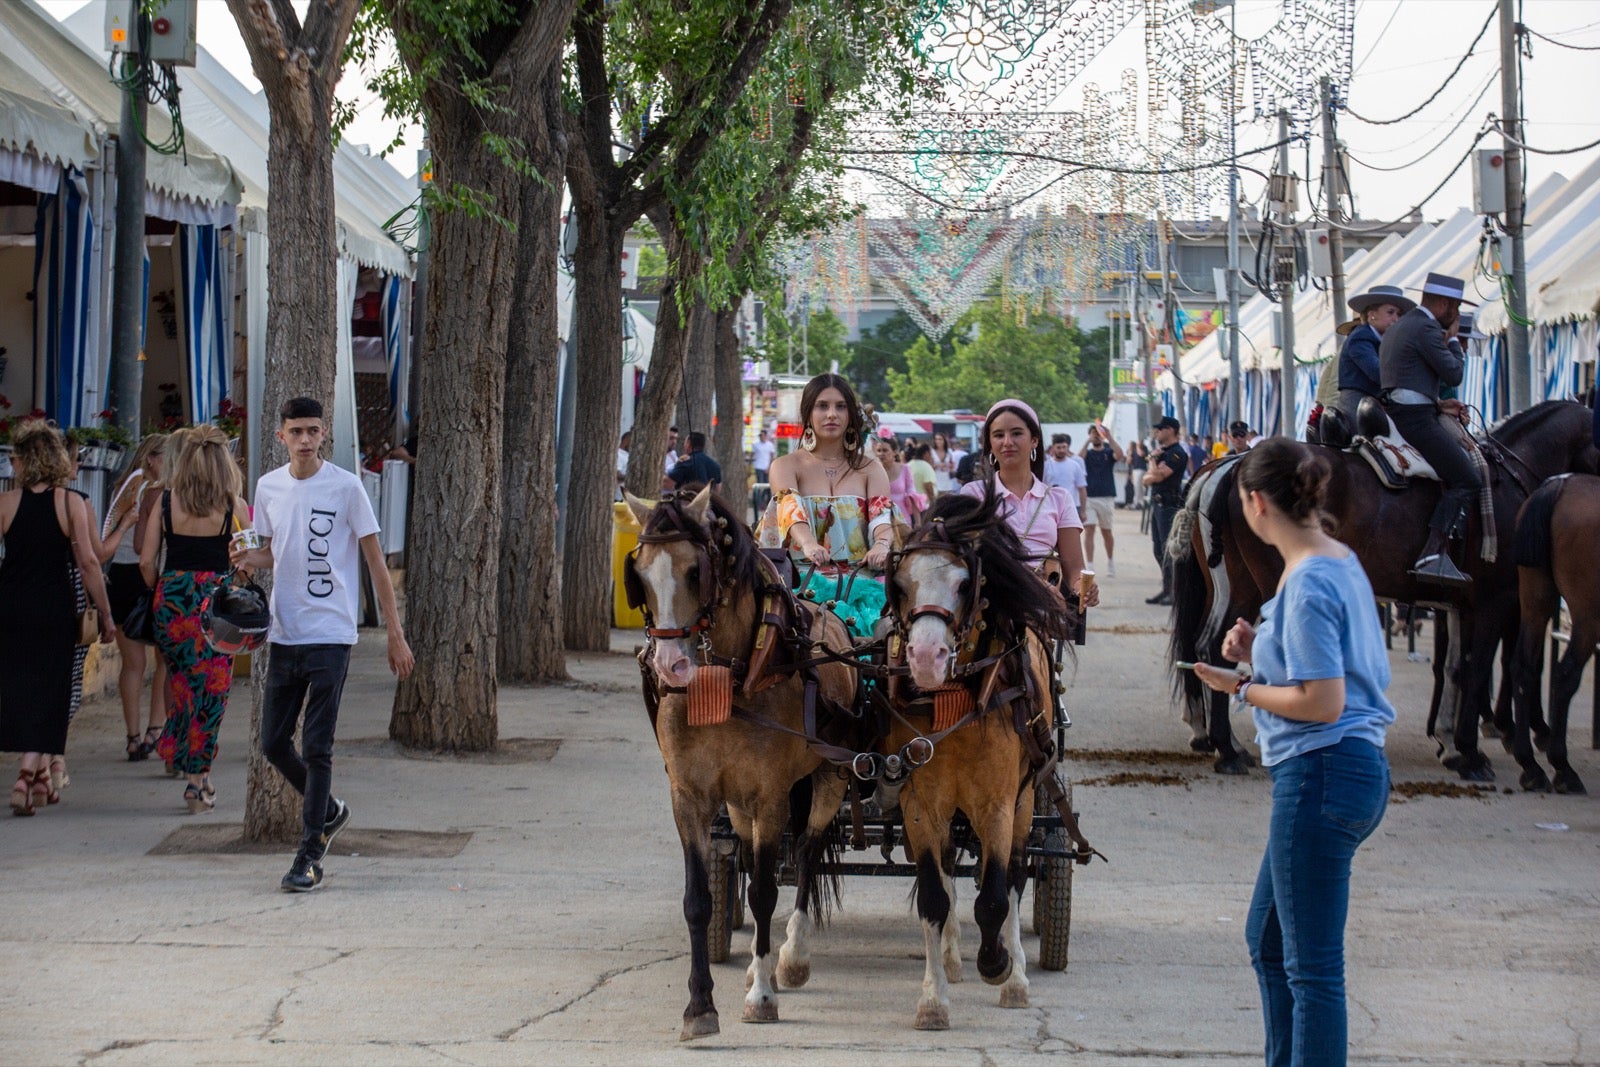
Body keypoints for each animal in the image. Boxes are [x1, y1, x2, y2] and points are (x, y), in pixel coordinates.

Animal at [620, 489, 864, 1036]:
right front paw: (699, 1006)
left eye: (696, 571)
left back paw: (790, 958)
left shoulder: (772, 796)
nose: (670, 666)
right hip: (737, 804)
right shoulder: (692, 797)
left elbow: (768, 892)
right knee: (750, 858)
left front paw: (762, 995)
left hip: (829, 777)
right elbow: (699, 900)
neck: (731, 675)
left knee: (808, 852)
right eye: (639, 573)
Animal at [883, 489, 1094, 1030]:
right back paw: (953, 958)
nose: (926, 659)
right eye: (900, 583)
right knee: (952, 874)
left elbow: (996, 895)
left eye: (964, 583)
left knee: (1017, 876)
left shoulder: (998, 805)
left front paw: (997, 963)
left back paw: (1015, 973)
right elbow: (935, 898)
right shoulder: (921, 805)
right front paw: (933, 998)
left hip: (1026, 800)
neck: (956, 700)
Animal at [1171, 396, 1593, 780]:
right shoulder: (1495, 601)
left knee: (1207, 646)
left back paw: (1225, 744)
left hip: (1238, 586)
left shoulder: (1461, 606)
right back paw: (1232, 747)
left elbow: (1455, 668)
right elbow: (1478, 670)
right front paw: (1473, 753)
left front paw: (1453, 745)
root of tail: (1232, 467)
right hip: (1267, 588)